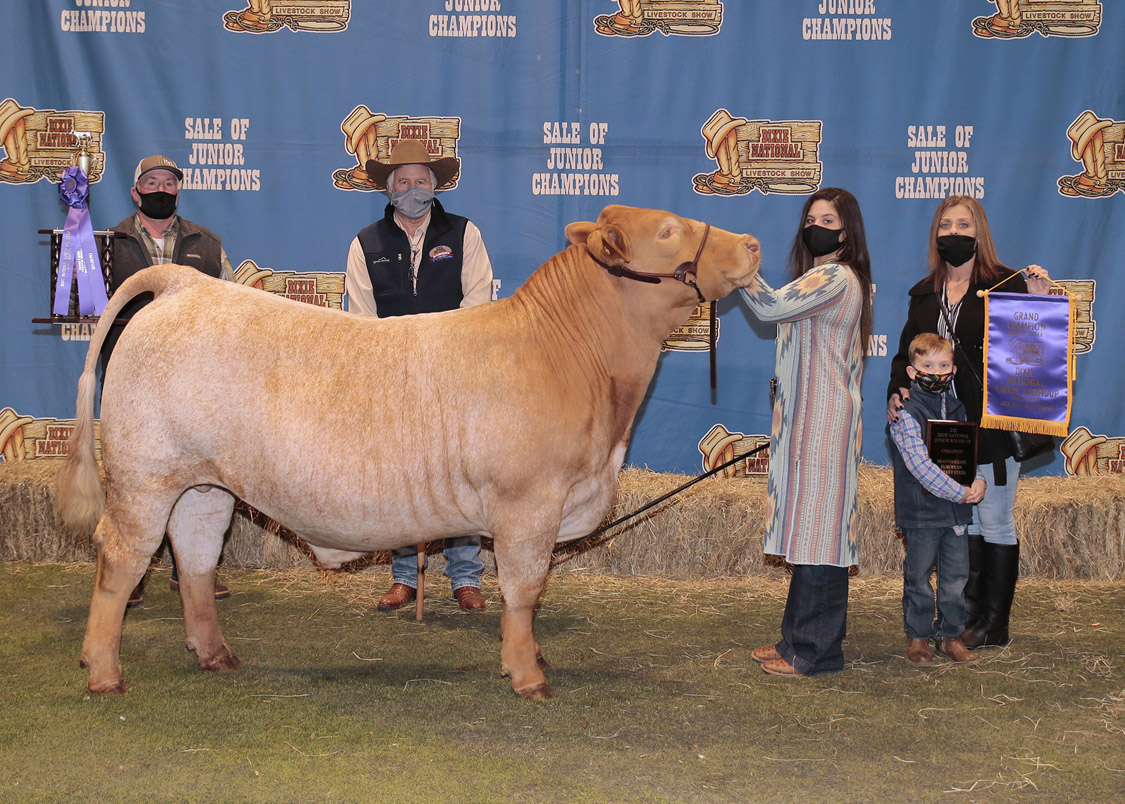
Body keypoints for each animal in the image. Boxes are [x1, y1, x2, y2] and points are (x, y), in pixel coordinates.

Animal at [57, 205, 760, 697]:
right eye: (667, 229)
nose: (752, 244)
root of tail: (186, 284)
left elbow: (526, 595)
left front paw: (532, 655)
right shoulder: (528, 502)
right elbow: (525, 589)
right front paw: (527, 674)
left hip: (204, 484)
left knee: (197, 559)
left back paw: (216, 656)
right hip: (144, 478)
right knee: (120, 560)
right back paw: (103, 671)